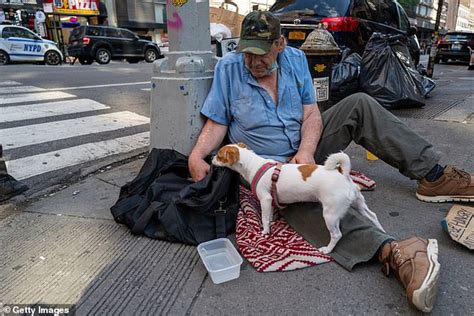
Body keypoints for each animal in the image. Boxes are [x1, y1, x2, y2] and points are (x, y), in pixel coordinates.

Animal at [212, 143, 386, 254]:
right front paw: (272, 221)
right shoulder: (271, 200)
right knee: (372, 216)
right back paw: (381, 230)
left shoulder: (265, 199)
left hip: (330, 214)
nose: (211, 157)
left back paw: (327, 249)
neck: (254, 165)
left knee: (337, 235)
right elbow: (270, 215)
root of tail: (342, 174)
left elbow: (264, 218)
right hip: (358, 203)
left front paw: (265, 231)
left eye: (219, 156)